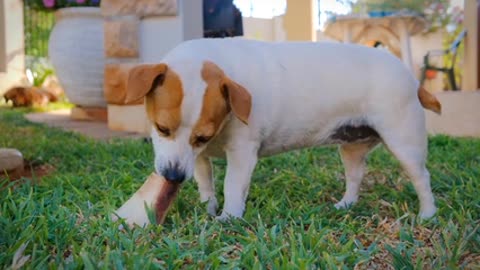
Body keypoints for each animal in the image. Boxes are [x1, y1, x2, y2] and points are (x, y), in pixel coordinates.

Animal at [122, 38, 440, 224]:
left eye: (202, 136)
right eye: (162, 128)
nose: (173, 176)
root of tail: (411, 77)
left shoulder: (241, 152)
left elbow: (232, 186)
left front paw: (228, 217)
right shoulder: (198, 157)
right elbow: (206, 183)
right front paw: (208, 207)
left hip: (404, 141)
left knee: (422, 177)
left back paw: (428, 213)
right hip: (351, 147)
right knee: (354, 176)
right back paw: (346, 204)